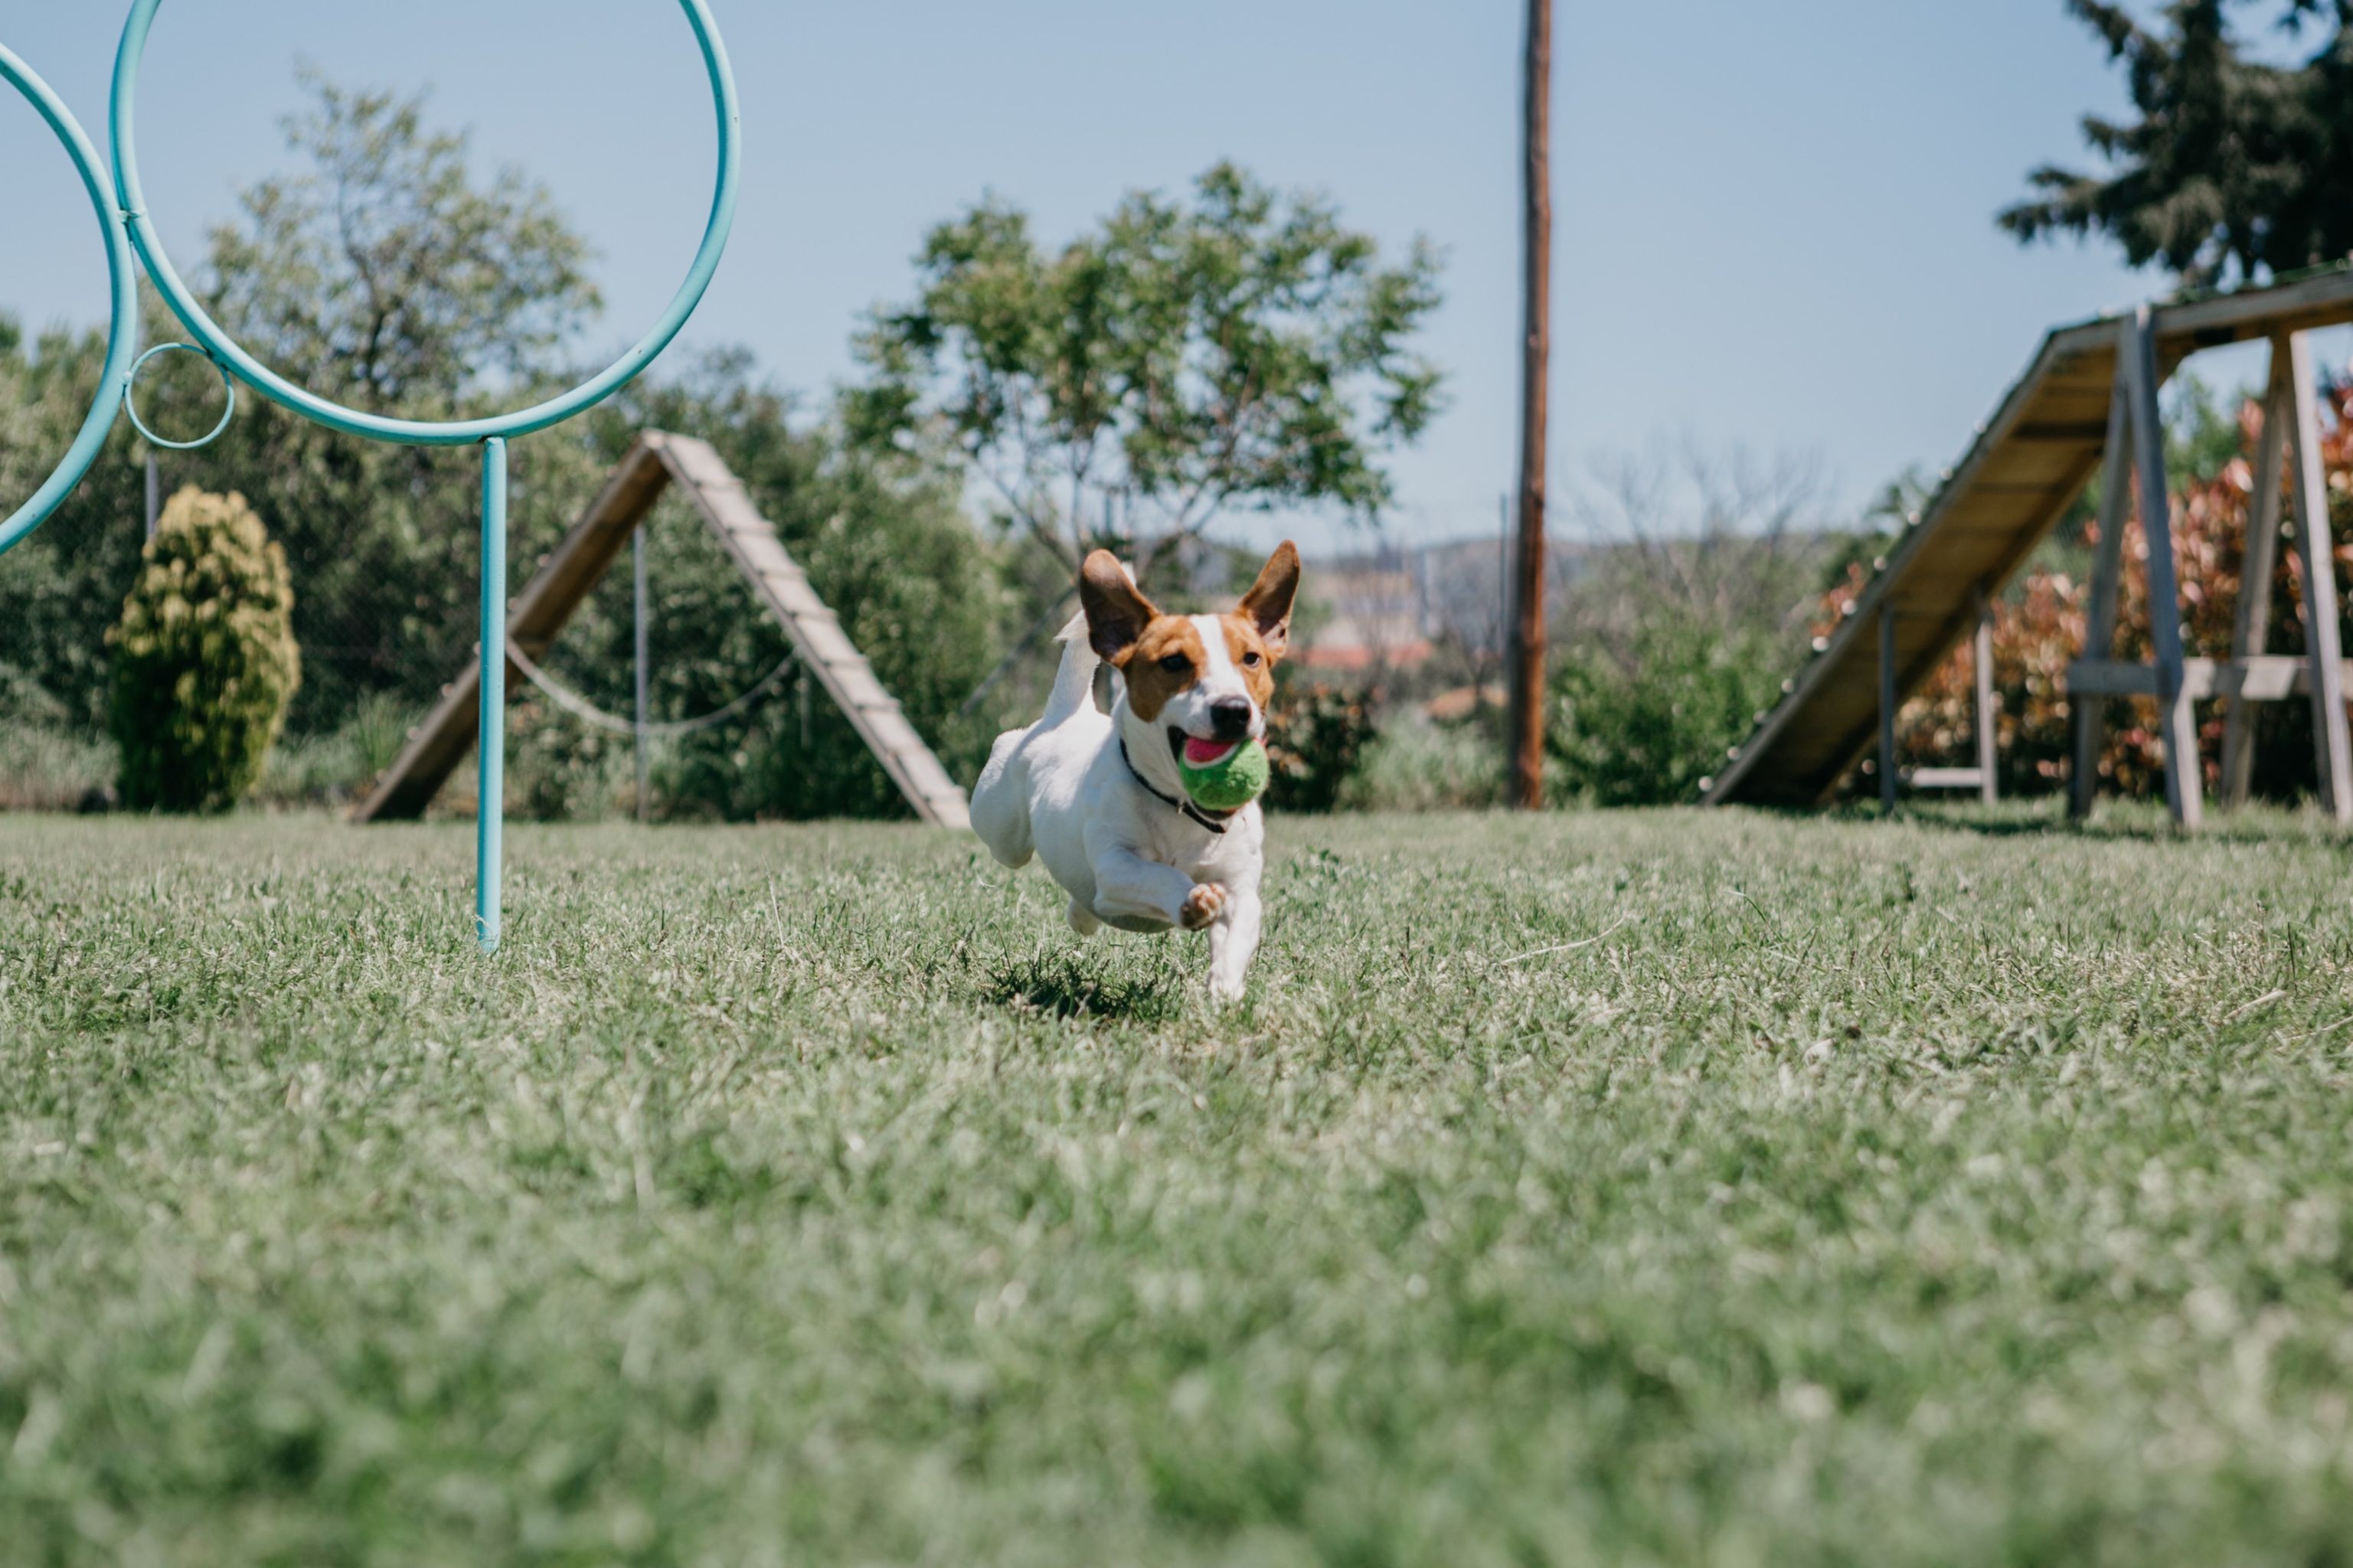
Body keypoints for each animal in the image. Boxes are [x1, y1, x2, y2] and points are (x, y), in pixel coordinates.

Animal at [974, 544, 1308, 993]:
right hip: (1003, 830)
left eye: (1252, 658)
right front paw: (1190, 900)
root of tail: (1068, 713)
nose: (1234, 710)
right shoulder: (1116, 867)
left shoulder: (1241, 887)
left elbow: (1237, 931)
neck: (1181, 809)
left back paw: (1082, 915)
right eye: (1174, 662)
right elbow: (1159, 876)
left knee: (1084, 905)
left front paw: (1224, 991)